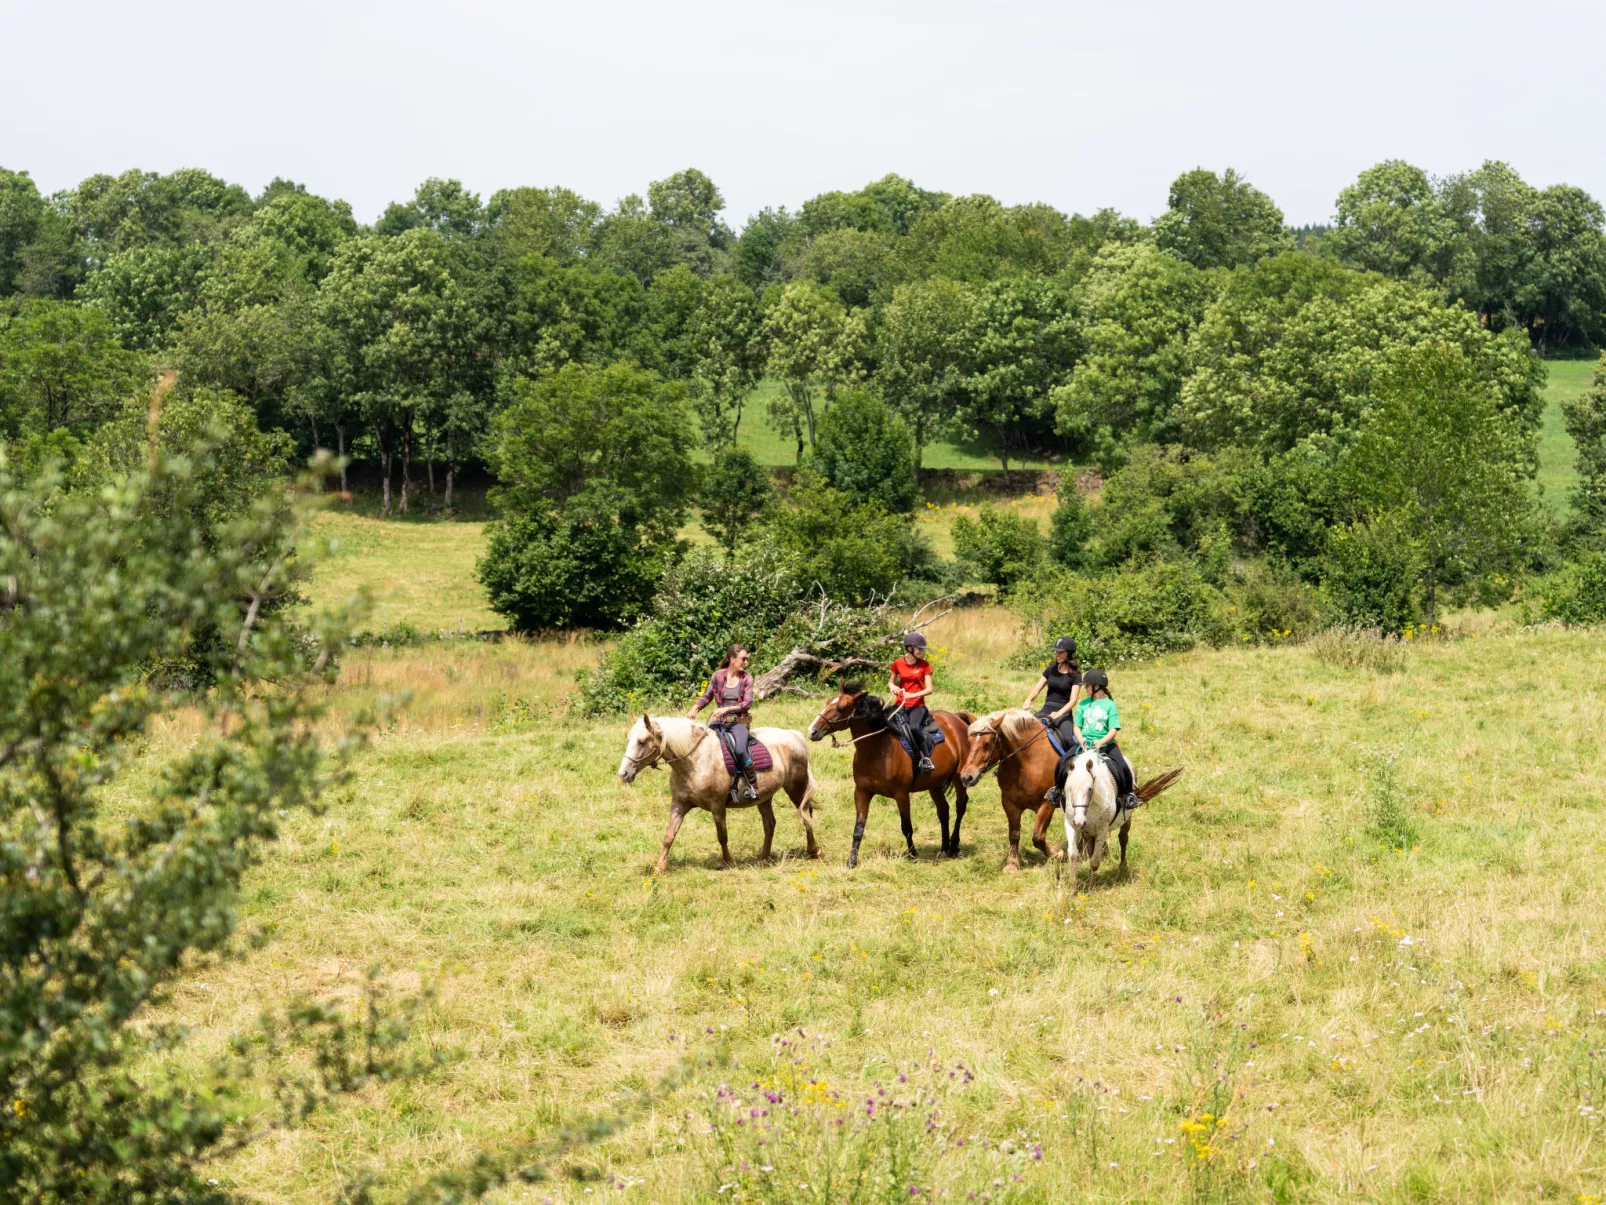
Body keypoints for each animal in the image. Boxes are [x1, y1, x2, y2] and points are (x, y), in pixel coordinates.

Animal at [610, 716, 822, 880]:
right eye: (629, 739)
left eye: (642, 741)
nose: (623, 774)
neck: (694, 760)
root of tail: (794, 735)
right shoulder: (679, 804)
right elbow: (669, 836)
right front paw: (659, 868)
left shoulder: (717, 806)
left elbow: (722, 836)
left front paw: (727, 862)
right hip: (764, 798)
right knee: (770, 824)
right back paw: (763, 858)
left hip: (796, 788)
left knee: (806, 814)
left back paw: (813, 850)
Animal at [809, 684, 970, 874]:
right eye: (827, 702)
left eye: (840, 708)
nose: (812, 731)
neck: (877, 749)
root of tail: (957, 719)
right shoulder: (862, 792)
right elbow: (858, 829)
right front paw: (852, 861)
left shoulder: (901, 794)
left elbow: (906, 827)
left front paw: (913, 855)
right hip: (935, 784)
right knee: (943, 811)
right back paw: (944, 849)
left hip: (959, 778)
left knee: (960, 806)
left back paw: (954, 846)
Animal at [950, 713, 1066, 874]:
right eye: (970, 742)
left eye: (987, 743)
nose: (967, 777)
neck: (1028, 761)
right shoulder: (1009, 803)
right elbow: (1014, 834)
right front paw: (1012, 864)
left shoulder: (1048, 803)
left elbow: (1038, 837)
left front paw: (1057, 853)